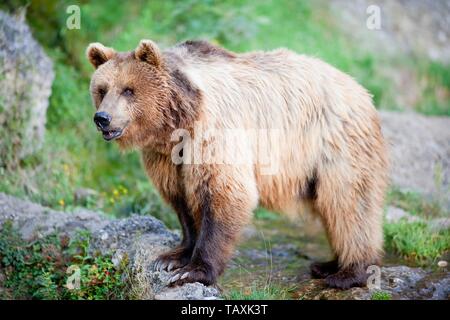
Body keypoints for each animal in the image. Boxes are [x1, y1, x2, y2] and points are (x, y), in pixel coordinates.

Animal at [86, 38, 388, 288]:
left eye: (129, 90)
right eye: (102, 90)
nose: (102, 119)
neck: (178, 121)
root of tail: (360, 89)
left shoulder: (214, 133)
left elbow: (225, 193)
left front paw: (194, 270)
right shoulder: (166, 158)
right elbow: (181, 200)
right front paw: (172, 257)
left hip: (336, 143)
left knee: (347, 203)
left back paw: (348, 273)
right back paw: (327, 265)